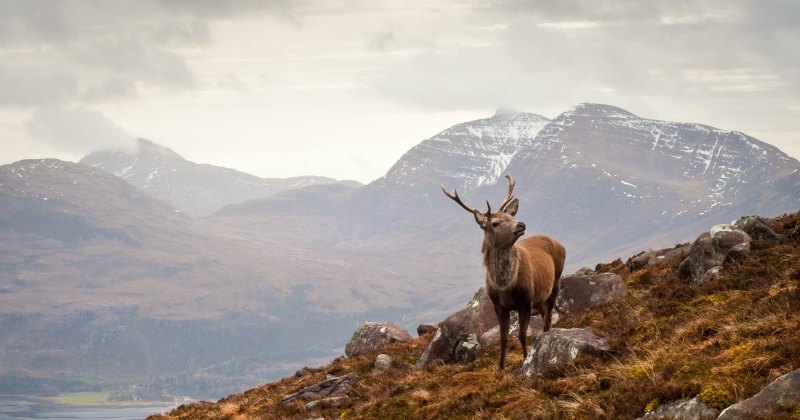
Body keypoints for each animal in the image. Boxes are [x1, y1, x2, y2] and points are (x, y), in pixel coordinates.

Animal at [442, 175, 566, 371]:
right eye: (495, 223)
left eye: (510, 216)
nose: (521, 224)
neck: (505, 286)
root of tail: (560, 244)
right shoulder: (499, 306)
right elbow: (503, 338)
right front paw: (501, 368)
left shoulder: (525, 301)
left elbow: (521, 335)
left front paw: (525, 359)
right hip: (540, 298)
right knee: (546, 314)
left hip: (556, 282)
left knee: (547, 319)